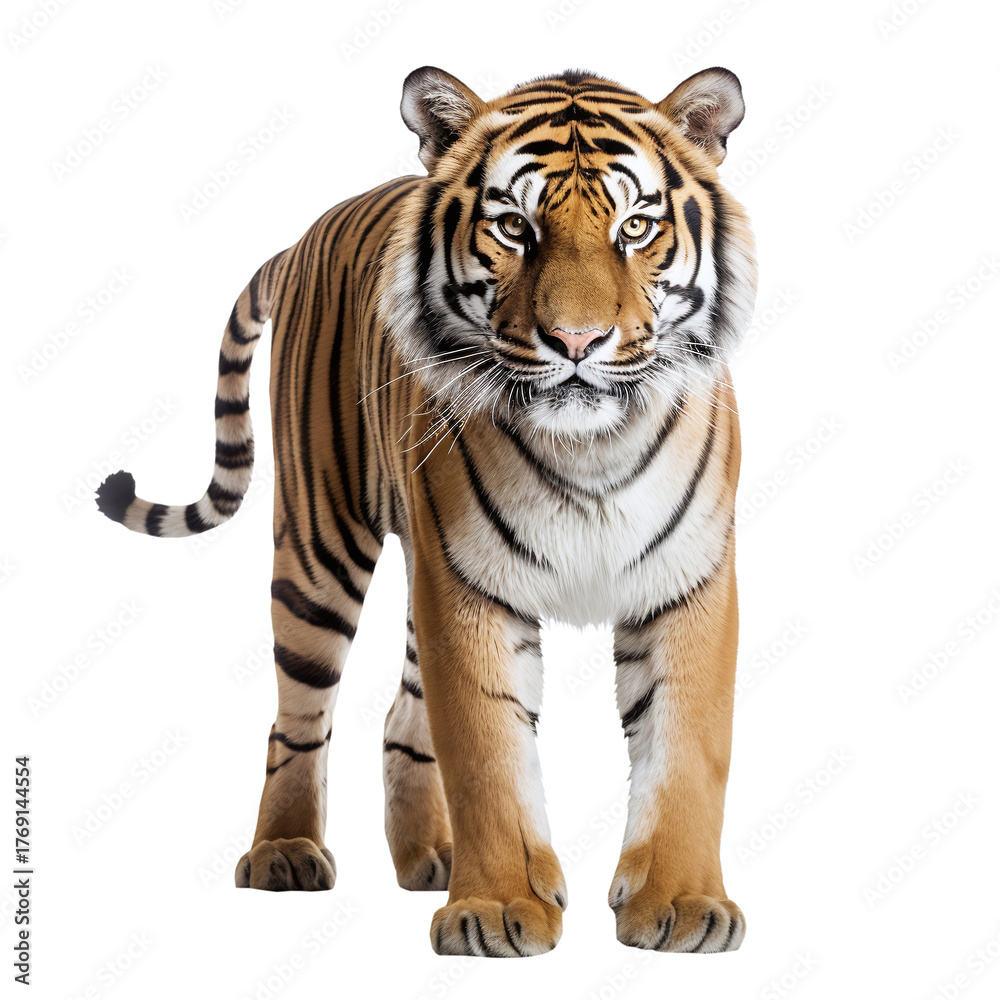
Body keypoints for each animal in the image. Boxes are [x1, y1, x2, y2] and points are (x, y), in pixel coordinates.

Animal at [95, 64, 757, 956]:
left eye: (636, 227)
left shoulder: (688, 582)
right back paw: (284, 851)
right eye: (514, 227)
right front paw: (500, 907)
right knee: (299, 712)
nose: (576, 342)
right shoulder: (471, 590)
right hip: (320, 546)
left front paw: (683, 906)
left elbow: (688, 748)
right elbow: (485, 748)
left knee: (401, 716)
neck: (592, 446)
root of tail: (306, 235)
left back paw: (430, 857)